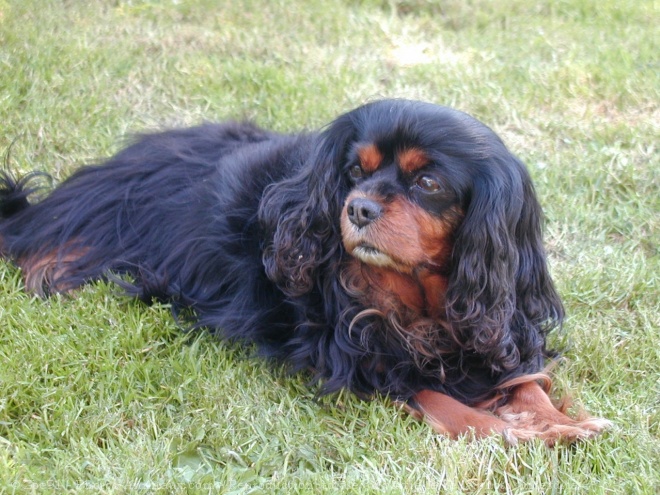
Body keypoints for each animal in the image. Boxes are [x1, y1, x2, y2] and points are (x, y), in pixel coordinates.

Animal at [0, 100, 608, 446]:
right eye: (354, 171)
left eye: (428, 183)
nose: (358, 209)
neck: (421, 293)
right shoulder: (358, 360)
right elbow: (443, 402)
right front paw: (511, 434)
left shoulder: (497, 323)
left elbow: (524, 380)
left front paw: (562, 422)